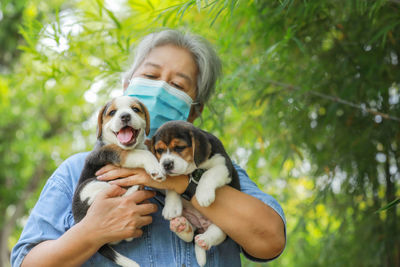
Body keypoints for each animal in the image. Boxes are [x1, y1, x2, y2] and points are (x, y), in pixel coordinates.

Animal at [72, 96, 164, 267]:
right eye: (112, 112)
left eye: (135, 109)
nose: (125, 116)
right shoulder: (114, 153)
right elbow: (141, 154)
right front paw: (155, 167)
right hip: (90, 186)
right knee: (119, 196)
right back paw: (133, 189)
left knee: (126, 237)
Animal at [148, 120, 239, 266]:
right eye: (159, 150)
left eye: (179, 147)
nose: (166, 164)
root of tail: (202, 225)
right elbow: (172, 188)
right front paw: (171, 207)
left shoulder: (223, 165)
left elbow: (208, 173)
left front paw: (203, 195)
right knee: (190, 235)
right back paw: (182, 226)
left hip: (225, 223)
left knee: (217, 233)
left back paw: (204, 240)